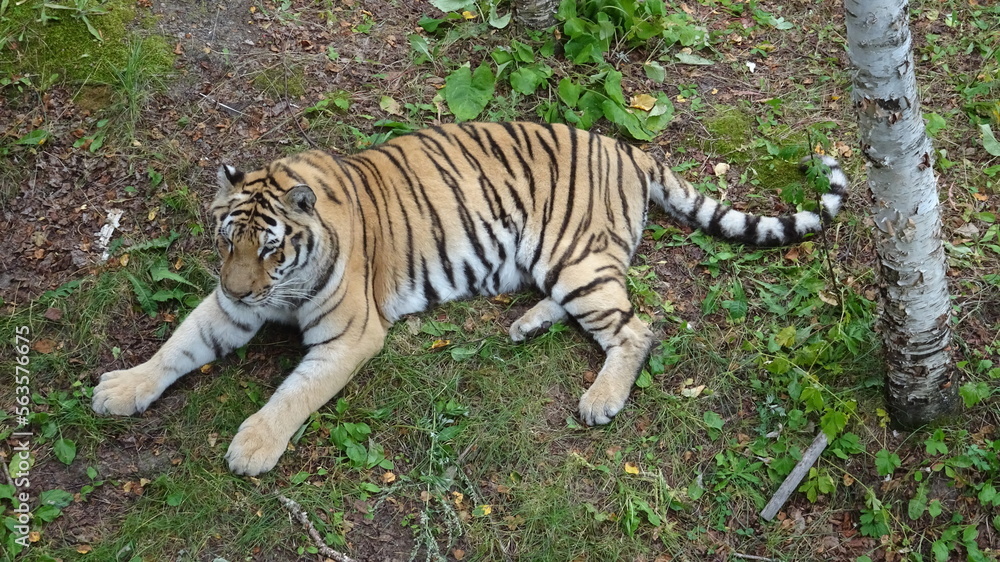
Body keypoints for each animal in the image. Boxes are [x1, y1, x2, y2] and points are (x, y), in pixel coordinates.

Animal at [92, 121, 848, 476]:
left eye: (273, 249)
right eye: (229, 241)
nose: (239, 285)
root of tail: (626, 149)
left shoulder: (350, 335)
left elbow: (294, 393)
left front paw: (253, 445)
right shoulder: (226, 310)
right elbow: (175, 347)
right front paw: (121, 388)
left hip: (574, 255)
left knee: (637, 326)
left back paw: (600, 400)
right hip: (558, 261)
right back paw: (525, 325)